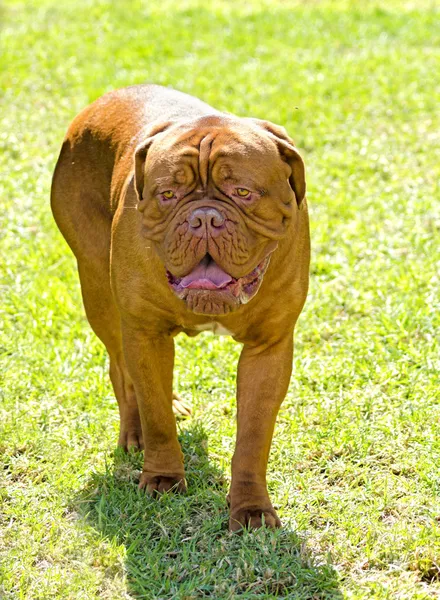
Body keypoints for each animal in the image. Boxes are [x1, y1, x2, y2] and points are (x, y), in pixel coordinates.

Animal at [51, 84, 310, 528]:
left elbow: (254, 434)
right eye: (168, 195)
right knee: (123, 371)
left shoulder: (270, 348)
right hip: (100, 292)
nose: (204, 218)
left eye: (243, 192)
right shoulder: (146, 332)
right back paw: (134, 430)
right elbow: (156, 414)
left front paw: (251, 508)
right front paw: (163, 479)